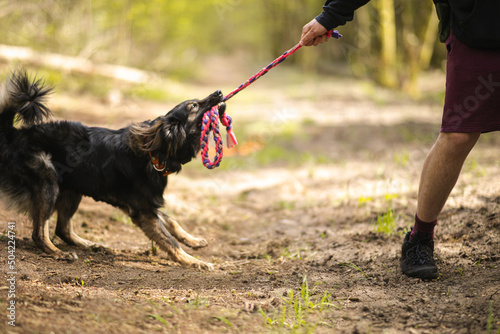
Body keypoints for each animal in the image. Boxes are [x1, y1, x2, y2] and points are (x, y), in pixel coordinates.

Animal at [0, 72, 223, 270]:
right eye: (194, 106)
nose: (219, 92)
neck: (154, 153)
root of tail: (13, 134)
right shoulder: (143, 211)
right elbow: (170, 240)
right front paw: (194, 262)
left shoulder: (147, 205)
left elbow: (173, 222)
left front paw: (193, 241)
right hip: (48, 182)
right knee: (39, 233)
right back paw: (58, 253)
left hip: (72, 189)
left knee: (62, 229)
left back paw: (90, 245)